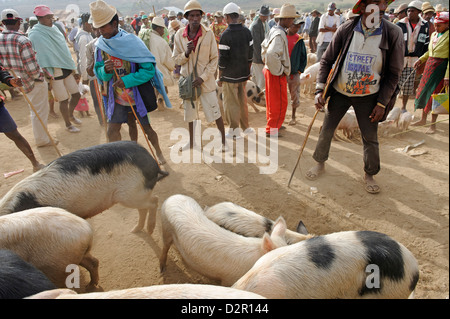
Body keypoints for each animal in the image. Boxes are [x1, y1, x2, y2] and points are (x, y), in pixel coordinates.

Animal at [0, 141, 169, 234]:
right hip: (134, 193)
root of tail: (152, 161)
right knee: (143, 208)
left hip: (131, 193)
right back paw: (135, 230)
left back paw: (149, 230)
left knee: (154, 200)